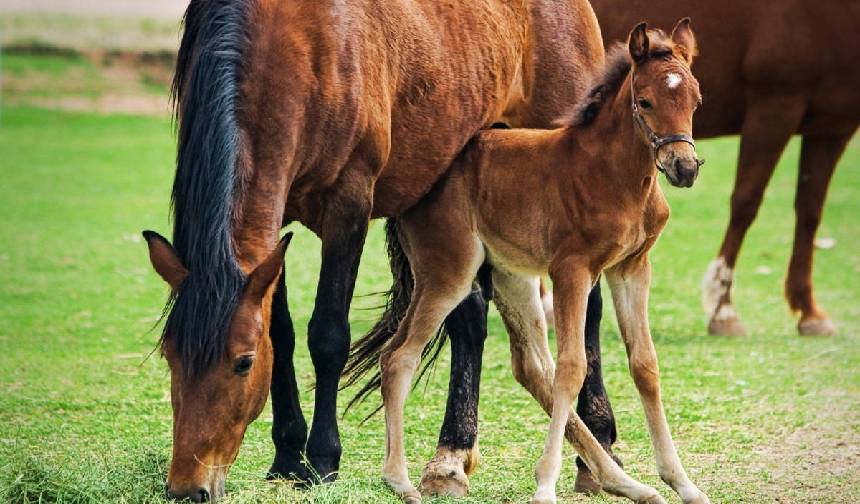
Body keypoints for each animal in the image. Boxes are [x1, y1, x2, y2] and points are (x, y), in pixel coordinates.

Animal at [143, 0, 612, 500]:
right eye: (170, 355)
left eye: (242, 363)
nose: (187, 487)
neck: (292, 47)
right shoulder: (275, 222)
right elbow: (282, 335)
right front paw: (287, 457)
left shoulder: (348, 207)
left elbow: (328, 335)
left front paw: (323, 459)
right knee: (470, 316)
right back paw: (451, 458)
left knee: (588, 309)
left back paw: (597, 448)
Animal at [592, 0, 860, 338]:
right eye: (646, 102)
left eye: (697, 102)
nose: (685, 168)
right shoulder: (775, 105)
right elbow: (746, 203)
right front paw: (723, 309)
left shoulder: (832, 127)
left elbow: (810, 213)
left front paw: (810, 313)